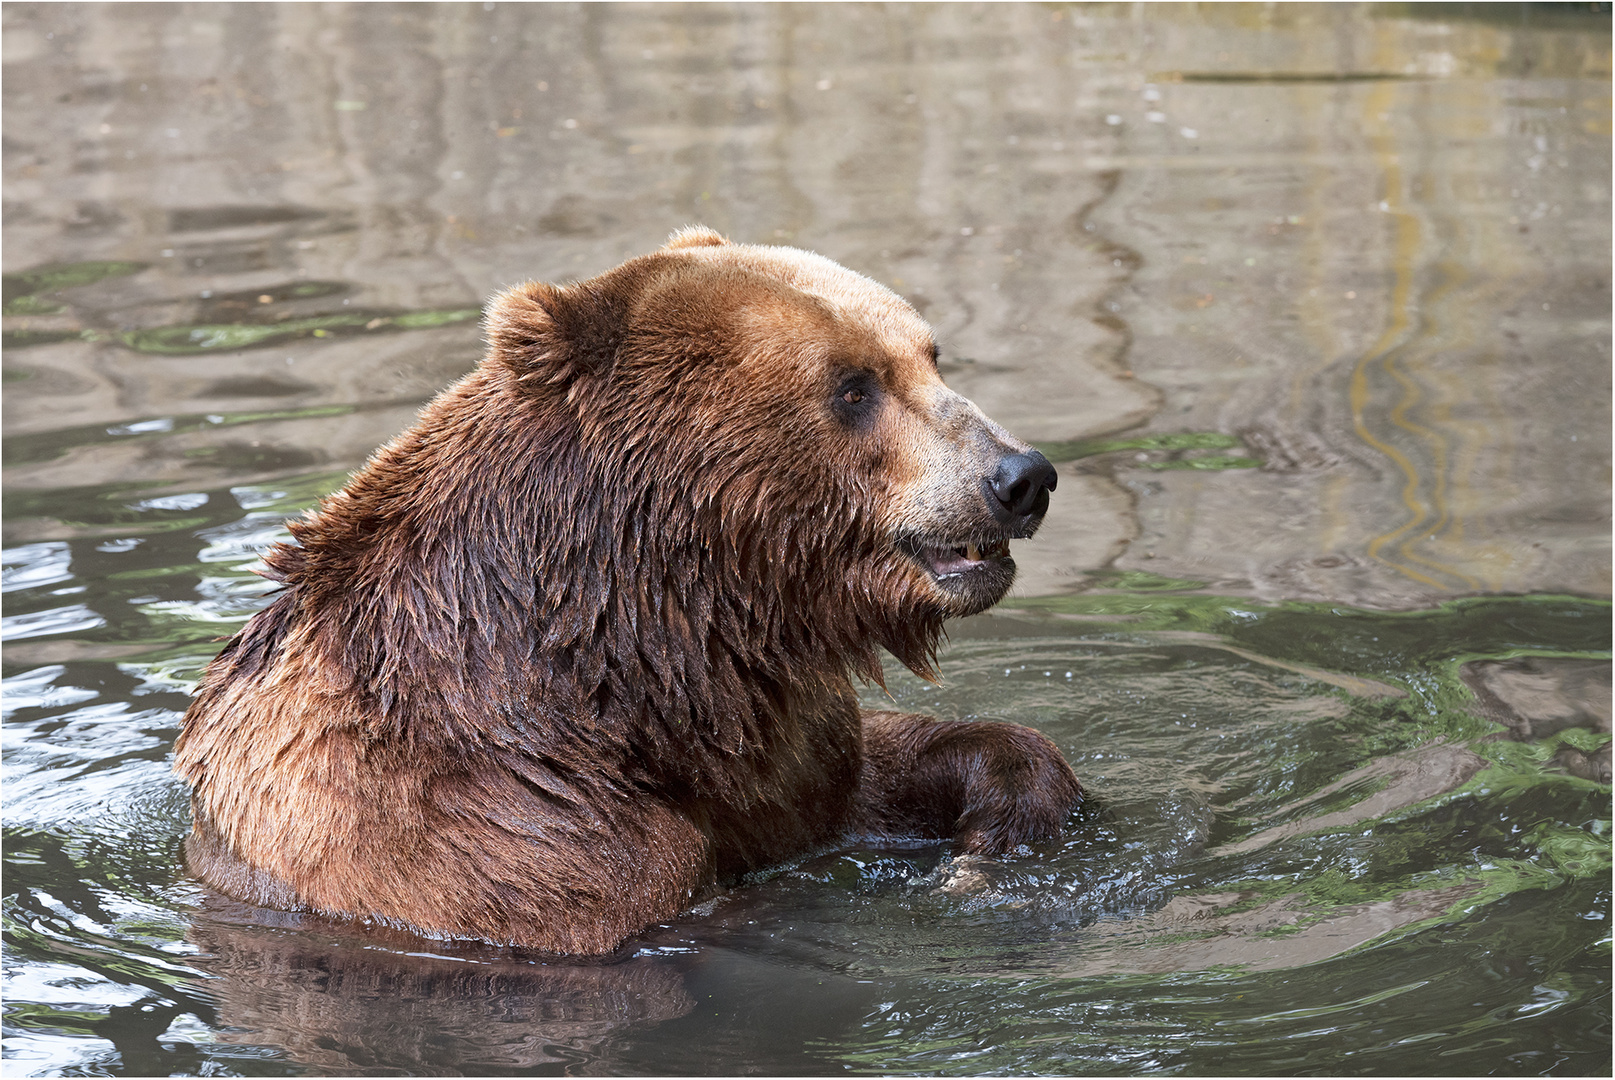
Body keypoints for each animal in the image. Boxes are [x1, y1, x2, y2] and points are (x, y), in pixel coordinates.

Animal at [173, 227, 1085, 949]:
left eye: (927, 355)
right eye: (852, 386)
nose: (1019, 477)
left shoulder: (788, 749)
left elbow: (900, 762)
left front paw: (999, 825)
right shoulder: (476, 844)